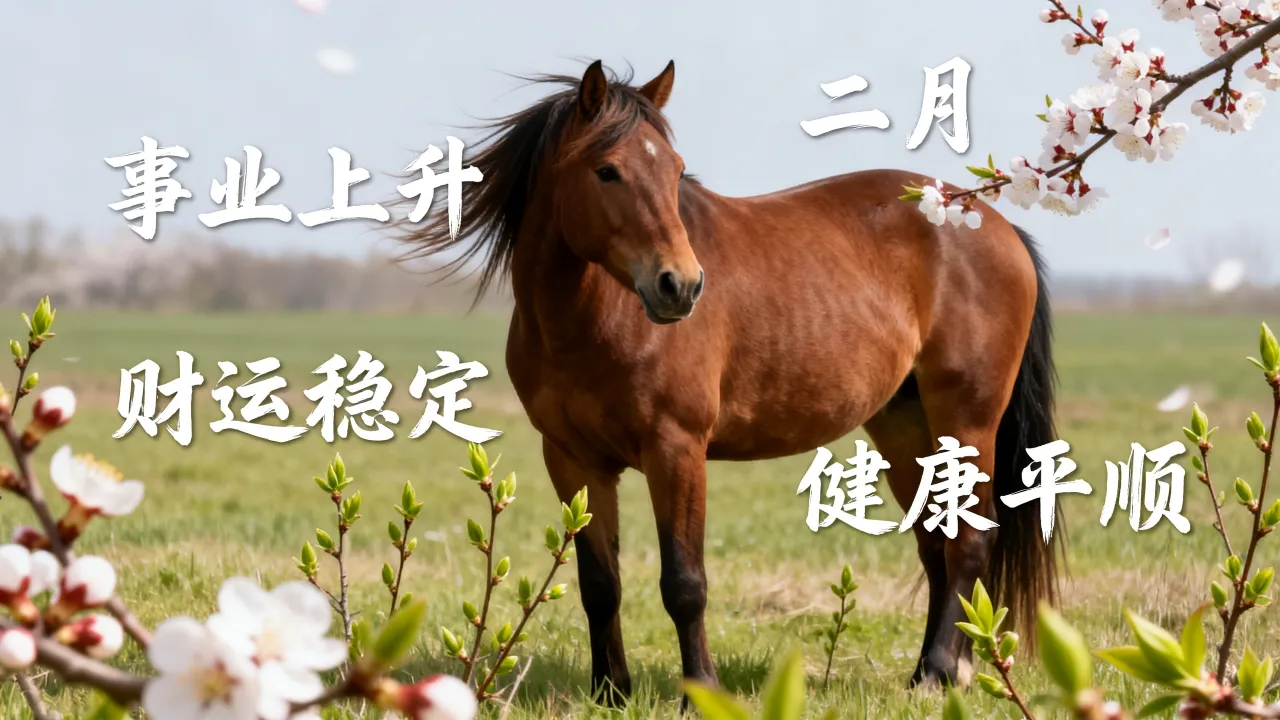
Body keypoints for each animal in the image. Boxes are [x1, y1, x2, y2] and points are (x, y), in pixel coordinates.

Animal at [395, 59, 1061, 704]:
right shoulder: (572, 460)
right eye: (607, 171)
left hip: (967, 418)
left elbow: (684, 583)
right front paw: (610, 692)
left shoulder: (676, 449)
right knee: (936, 543)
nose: (680, 285)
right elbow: (599, 583)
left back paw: (939, 673)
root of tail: (990, 220)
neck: (594, 317)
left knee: (968, 544)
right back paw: (939, 669)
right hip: (904, 425)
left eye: (675, 171)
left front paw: (700, 691)